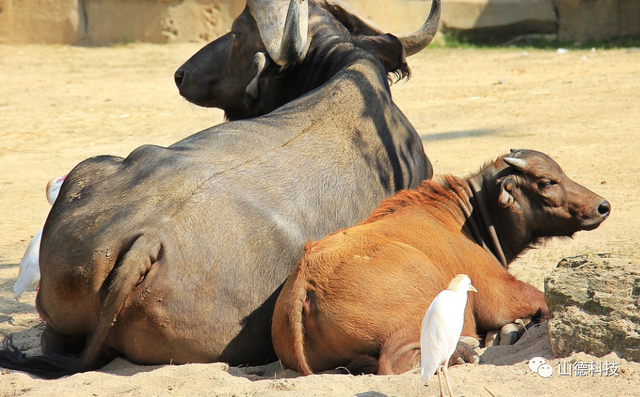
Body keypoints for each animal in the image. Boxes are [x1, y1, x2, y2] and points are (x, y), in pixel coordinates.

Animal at [272, 148, 608, 374]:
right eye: (546, 181)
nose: (602, 206)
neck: (465, 219)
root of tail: (306, 282)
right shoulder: (500, 294)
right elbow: (539, 300)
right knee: (395, 361)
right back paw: (463, 352)